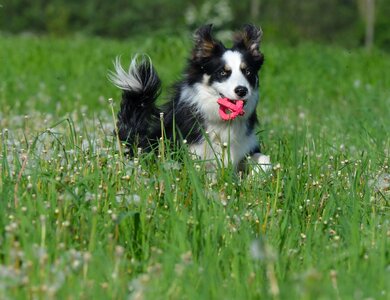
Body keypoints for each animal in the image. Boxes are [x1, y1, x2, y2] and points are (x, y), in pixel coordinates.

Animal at [108, 24, 270, 172]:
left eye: (248, 71)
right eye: (223, 72)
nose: (242, 90)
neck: (222, 122)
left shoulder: (247, 146)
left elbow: (264, 159)